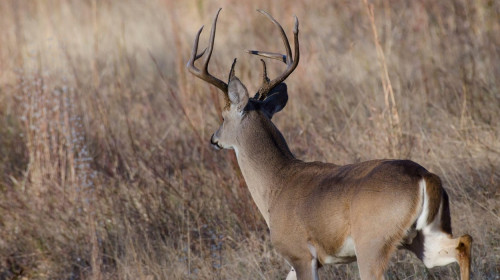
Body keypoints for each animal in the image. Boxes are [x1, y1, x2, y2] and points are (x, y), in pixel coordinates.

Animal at [186, 8, 470, 280]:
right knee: (463, 243)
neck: (276, 186)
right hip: (424, 237)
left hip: (372, 243)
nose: (214, 138)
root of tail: (424, 176)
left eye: (223, 116)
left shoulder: (299, 253)